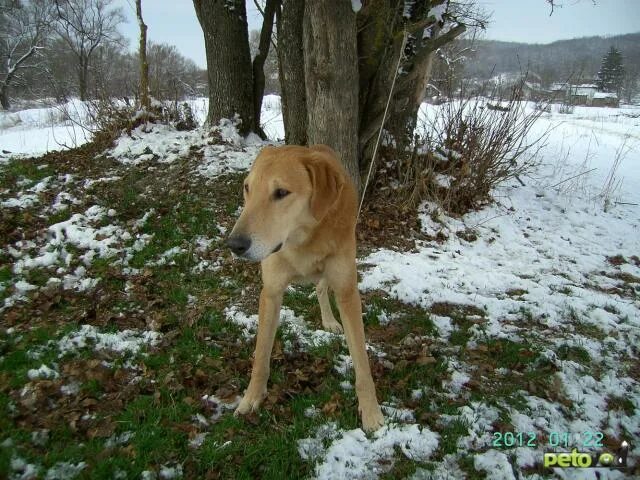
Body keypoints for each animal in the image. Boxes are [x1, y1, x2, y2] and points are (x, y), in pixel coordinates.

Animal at [226, 144, 384, 434]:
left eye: (281, 193)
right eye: (247, 188)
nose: (234, 245)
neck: (303, 238)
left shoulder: (347, 292)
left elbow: (362, 364)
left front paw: (371, 412)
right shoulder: (271, 292)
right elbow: (261, 357)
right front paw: (252, 398)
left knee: (322, 287)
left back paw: (329, 320)